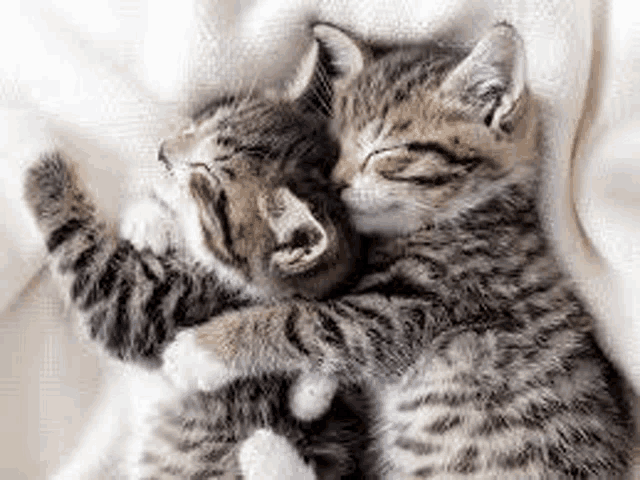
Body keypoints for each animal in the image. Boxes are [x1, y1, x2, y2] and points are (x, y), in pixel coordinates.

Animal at [175, 23, 636, 480]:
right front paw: (310, 393)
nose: (336, 185)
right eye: (336, 146)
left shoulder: (414, 308)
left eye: (384, 152)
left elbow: (306, 322)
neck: (475, 215)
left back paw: (263, 451)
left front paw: (197, 353)